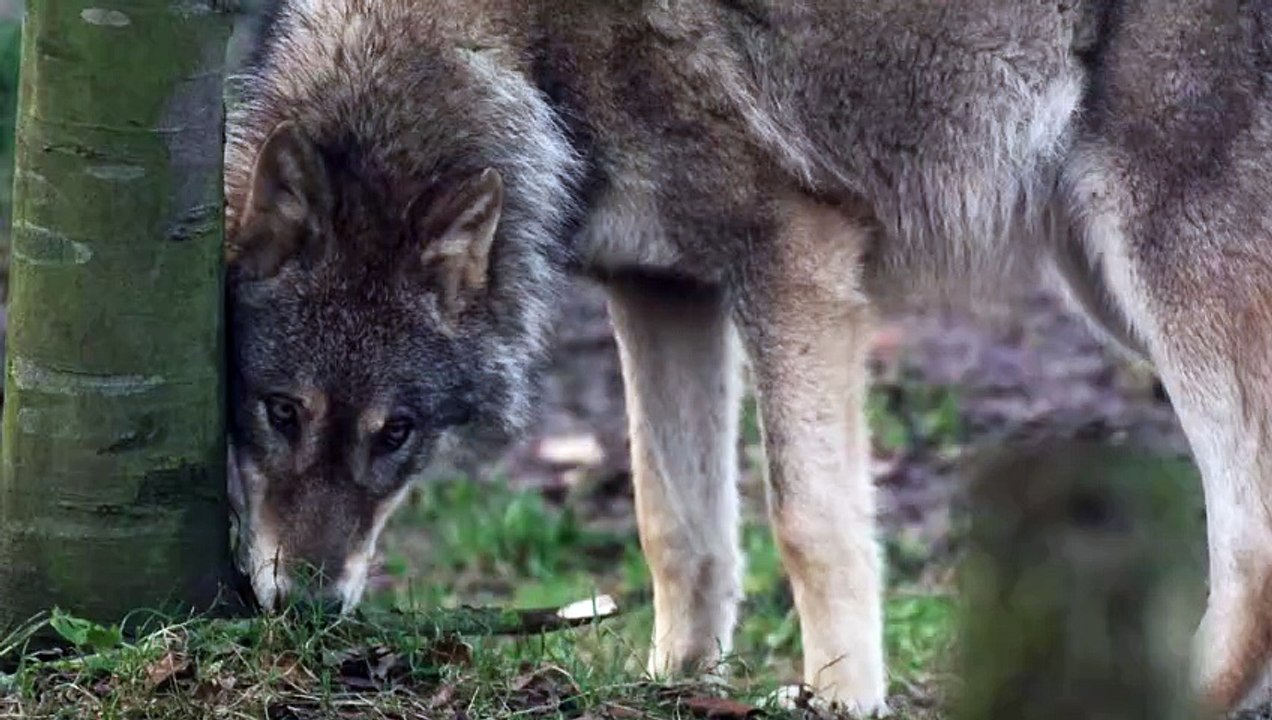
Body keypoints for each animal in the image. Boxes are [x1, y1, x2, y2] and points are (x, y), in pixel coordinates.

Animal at [223, 0, 1272, 715]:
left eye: (394, 432)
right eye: (279, 411)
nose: (303, 608)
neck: (529, 55)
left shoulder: (794, 261)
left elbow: (811, 524)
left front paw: (841, 701)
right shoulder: (660, 289)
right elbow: (677, 530)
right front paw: (677, 685)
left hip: (1158, 270)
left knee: (1249, 544)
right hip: (1106, 286)